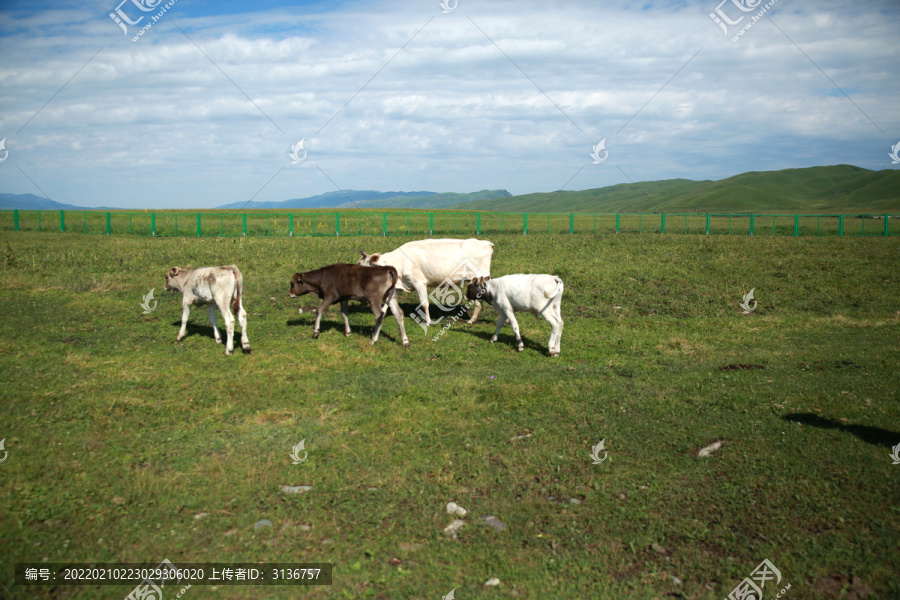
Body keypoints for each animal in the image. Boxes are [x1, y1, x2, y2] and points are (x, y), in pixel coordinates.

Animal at [356, 238, 496, 326]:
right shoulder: (402, 284)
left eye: (360, 264)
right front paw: (382, 315)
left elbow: (424, 303)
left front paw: (428, 322)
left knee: (481, 301)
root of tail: (486, 243)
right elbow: (388, 301)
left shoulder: (419, 282)